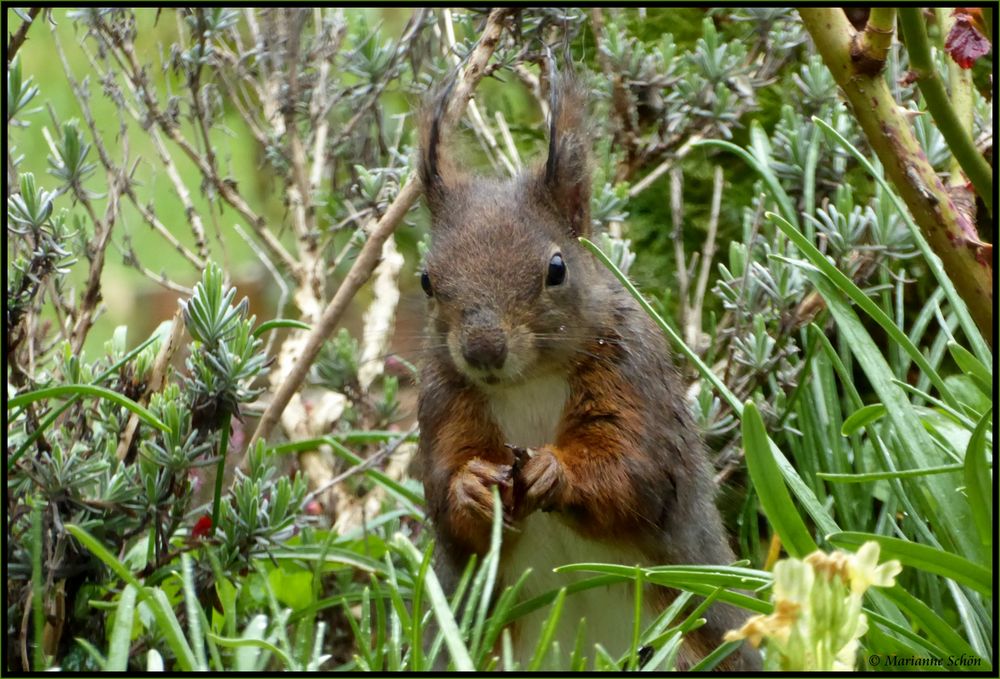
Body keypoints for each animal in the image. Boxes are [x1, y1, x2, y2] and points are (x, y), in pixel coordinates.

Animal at [416, 77, 756, 672]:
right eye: (427, 281)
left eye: (556, 269)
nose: (483, 350)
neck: (528, 385)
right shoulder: (442, 404)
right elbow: (450, 506)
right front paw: (473, 486)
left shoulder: (632, 378)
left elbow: (634, 473)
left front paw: (556, 472)